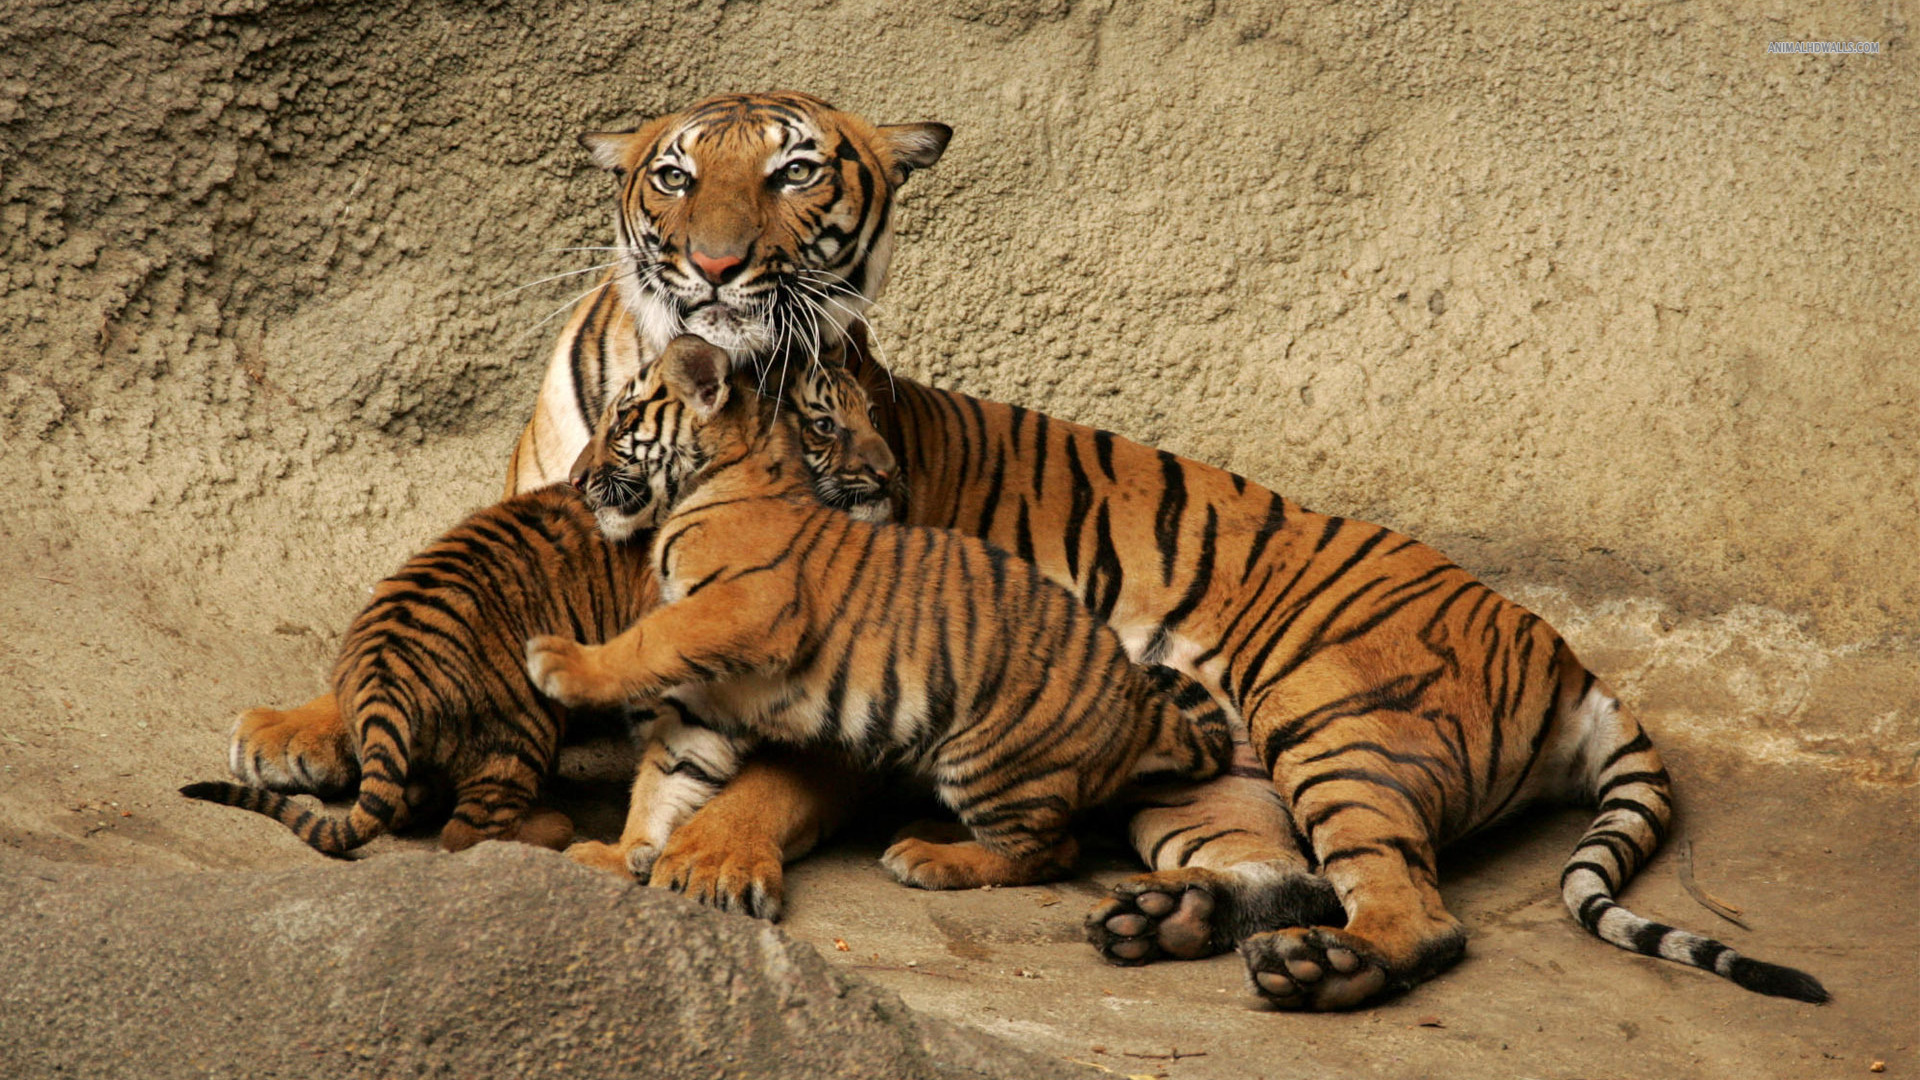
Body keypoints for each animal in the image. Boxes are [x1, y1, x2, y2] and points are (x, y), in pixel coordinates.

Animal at [523, 335, 1237, 891]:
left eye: (622, 421)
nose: (577, 480)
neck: (720, 477)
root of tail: (1141, 706)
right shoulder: (712, 694)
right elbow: (667, 776)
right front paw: (618, 854)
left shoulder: (743, 607)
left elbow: (650, 641)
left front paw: (558, 663)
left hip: (989, 757)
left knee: (1052, 851)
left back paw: (928, 857)